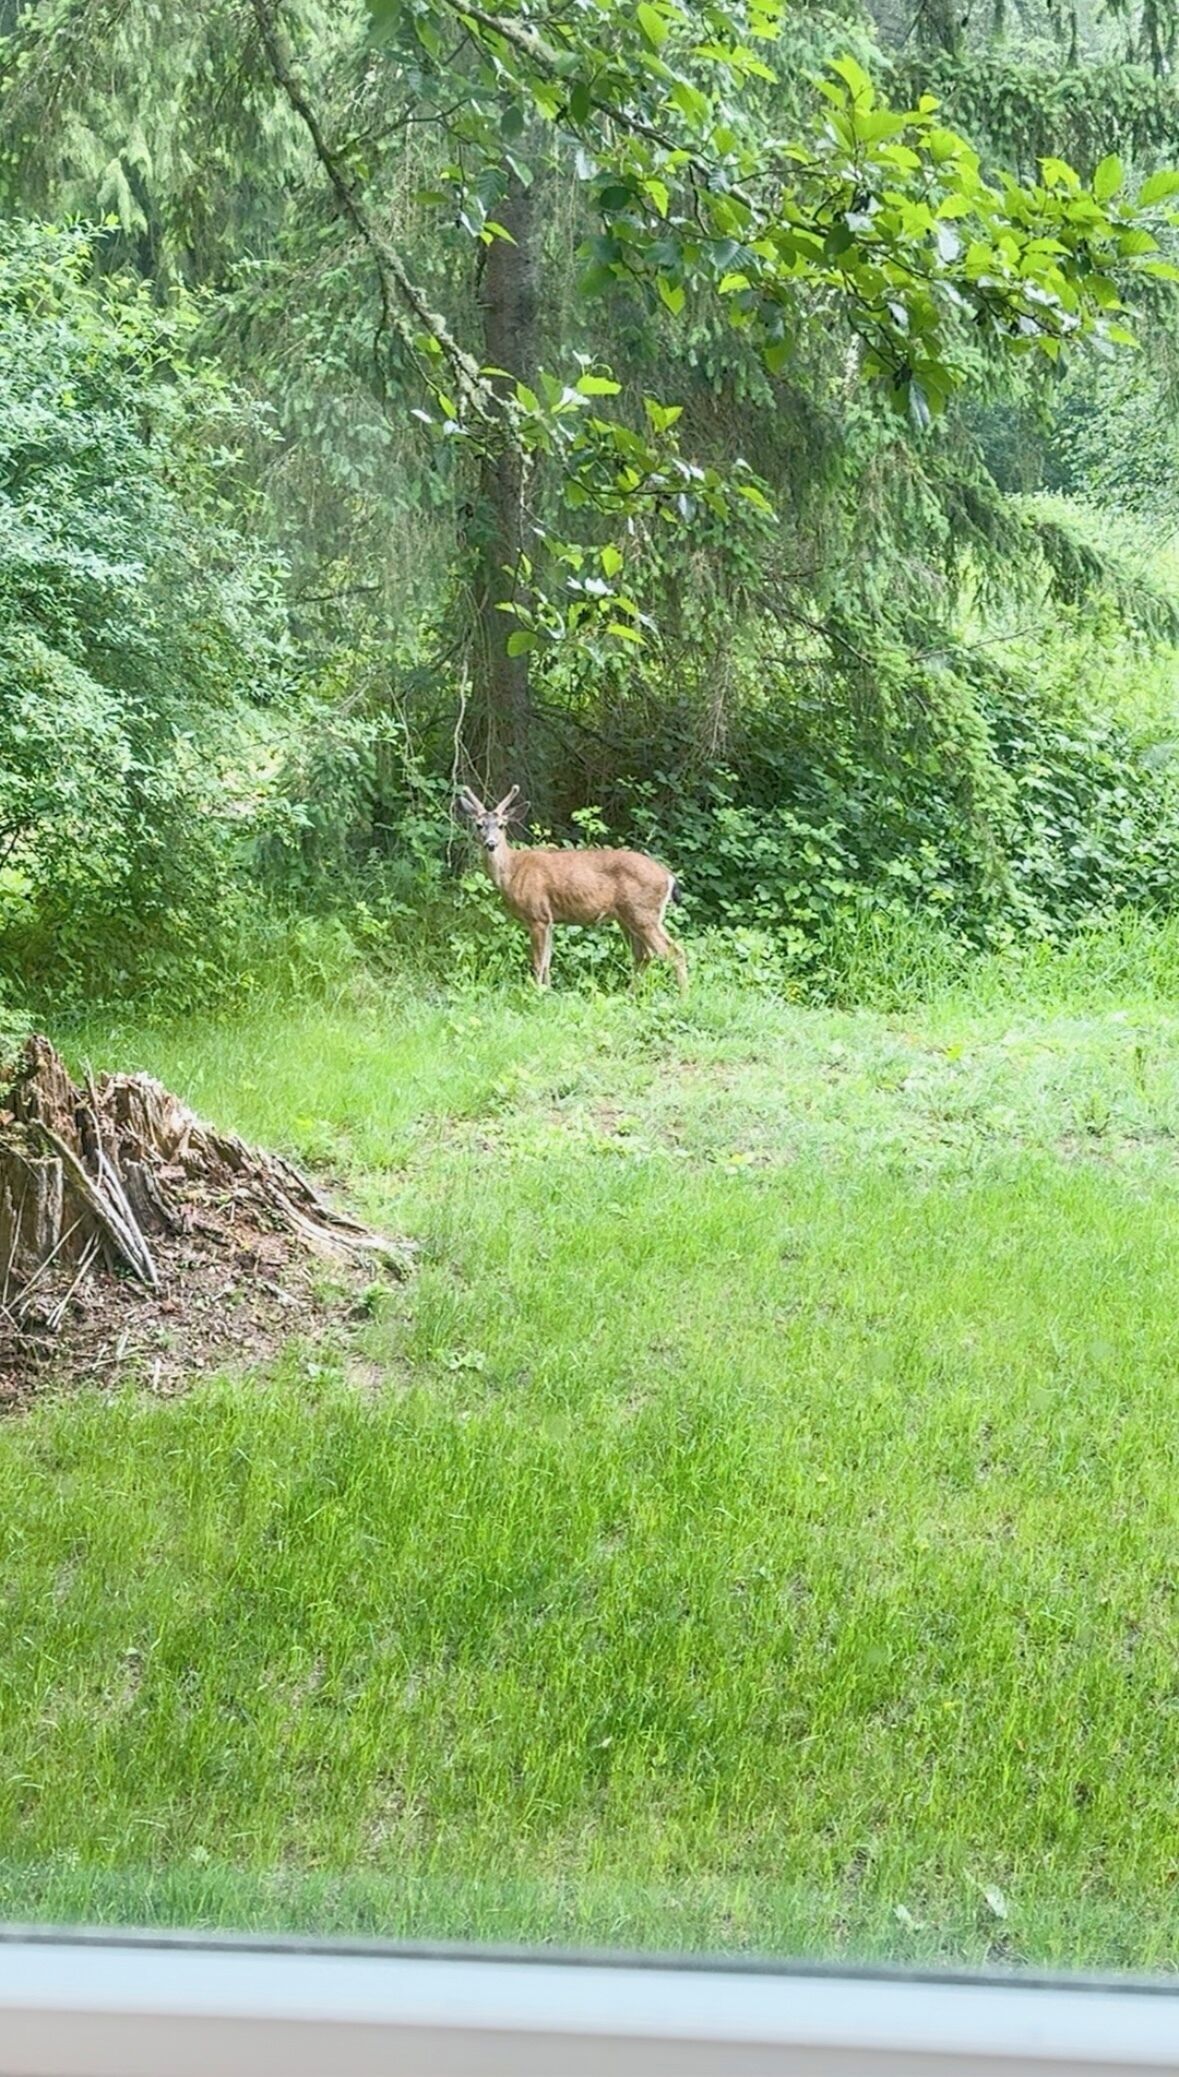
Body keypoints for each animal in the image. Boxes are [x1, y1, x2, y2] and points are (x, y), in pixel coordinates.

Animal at [456, 785, 688, 992]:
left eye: (502, 825)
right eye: (479, 825)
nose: (491, 844)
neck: (512, 870)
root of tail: (668, 876)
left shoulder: (538, 916)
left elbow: (538, 962)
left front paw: (535, 994)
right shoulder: (549, 920)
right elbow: (547, 961)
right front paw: (548, 992)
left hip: (644, 914)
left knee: (674, 952)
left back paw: (682, 999)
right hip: (628, 918)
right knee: (644, 955)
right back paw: (630, 995)